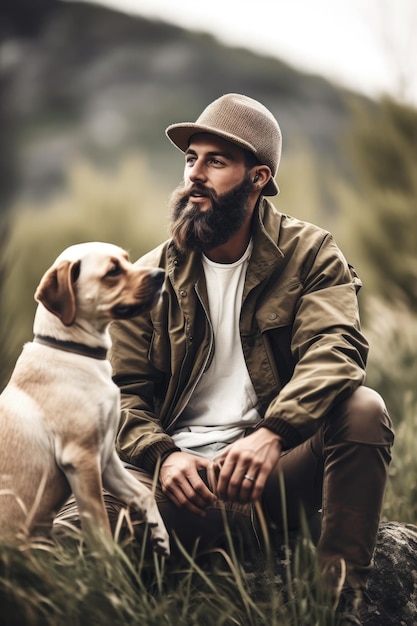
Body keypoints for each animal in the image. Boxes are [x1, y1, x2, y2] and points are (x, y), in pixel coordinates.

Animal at [0, 241, 169, 552]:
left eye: (127, 260)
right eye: (113, 271)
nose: (160, 274)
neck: (74, 351)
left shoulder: (107, 458)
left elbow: (144, 494)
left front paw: (160, 535)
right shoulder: (82, 460)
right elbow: (101, 528)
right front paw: (113, 564)